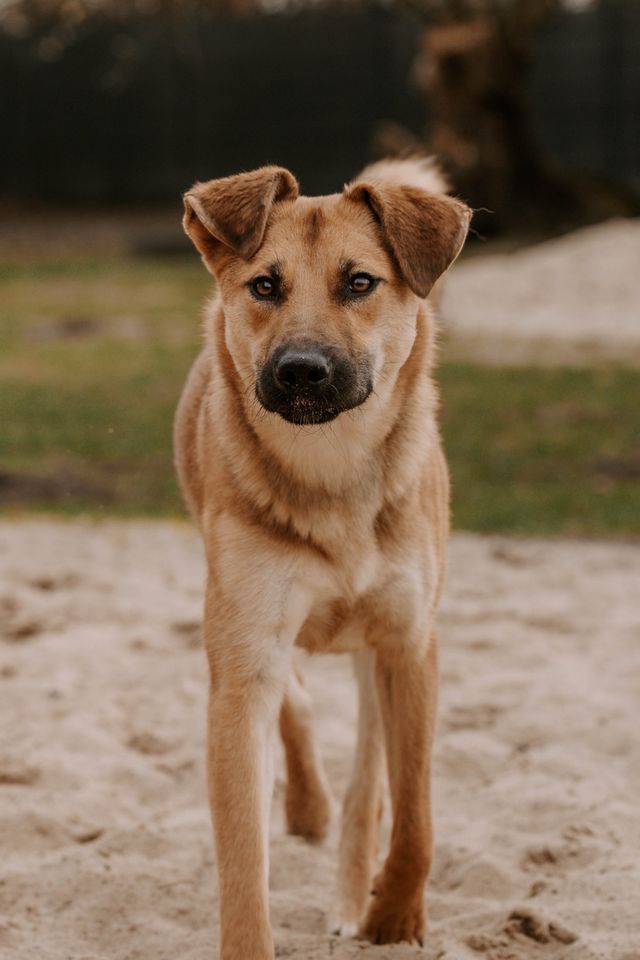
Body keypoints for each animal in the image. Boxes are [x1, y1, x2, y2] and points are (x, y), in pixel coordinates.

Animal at [174, 154, 470, 956]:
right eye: (264, 286)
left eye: (360, 282)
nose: (302, 370)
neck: (331, 472)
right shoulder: (243, 661)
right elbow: (243, 862)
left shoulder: (410, 642)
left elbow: (416, 811)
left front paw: (395, 917)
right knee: (298, 707)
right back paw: (308, 805)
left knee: (371, 779)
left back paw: (352, 888)